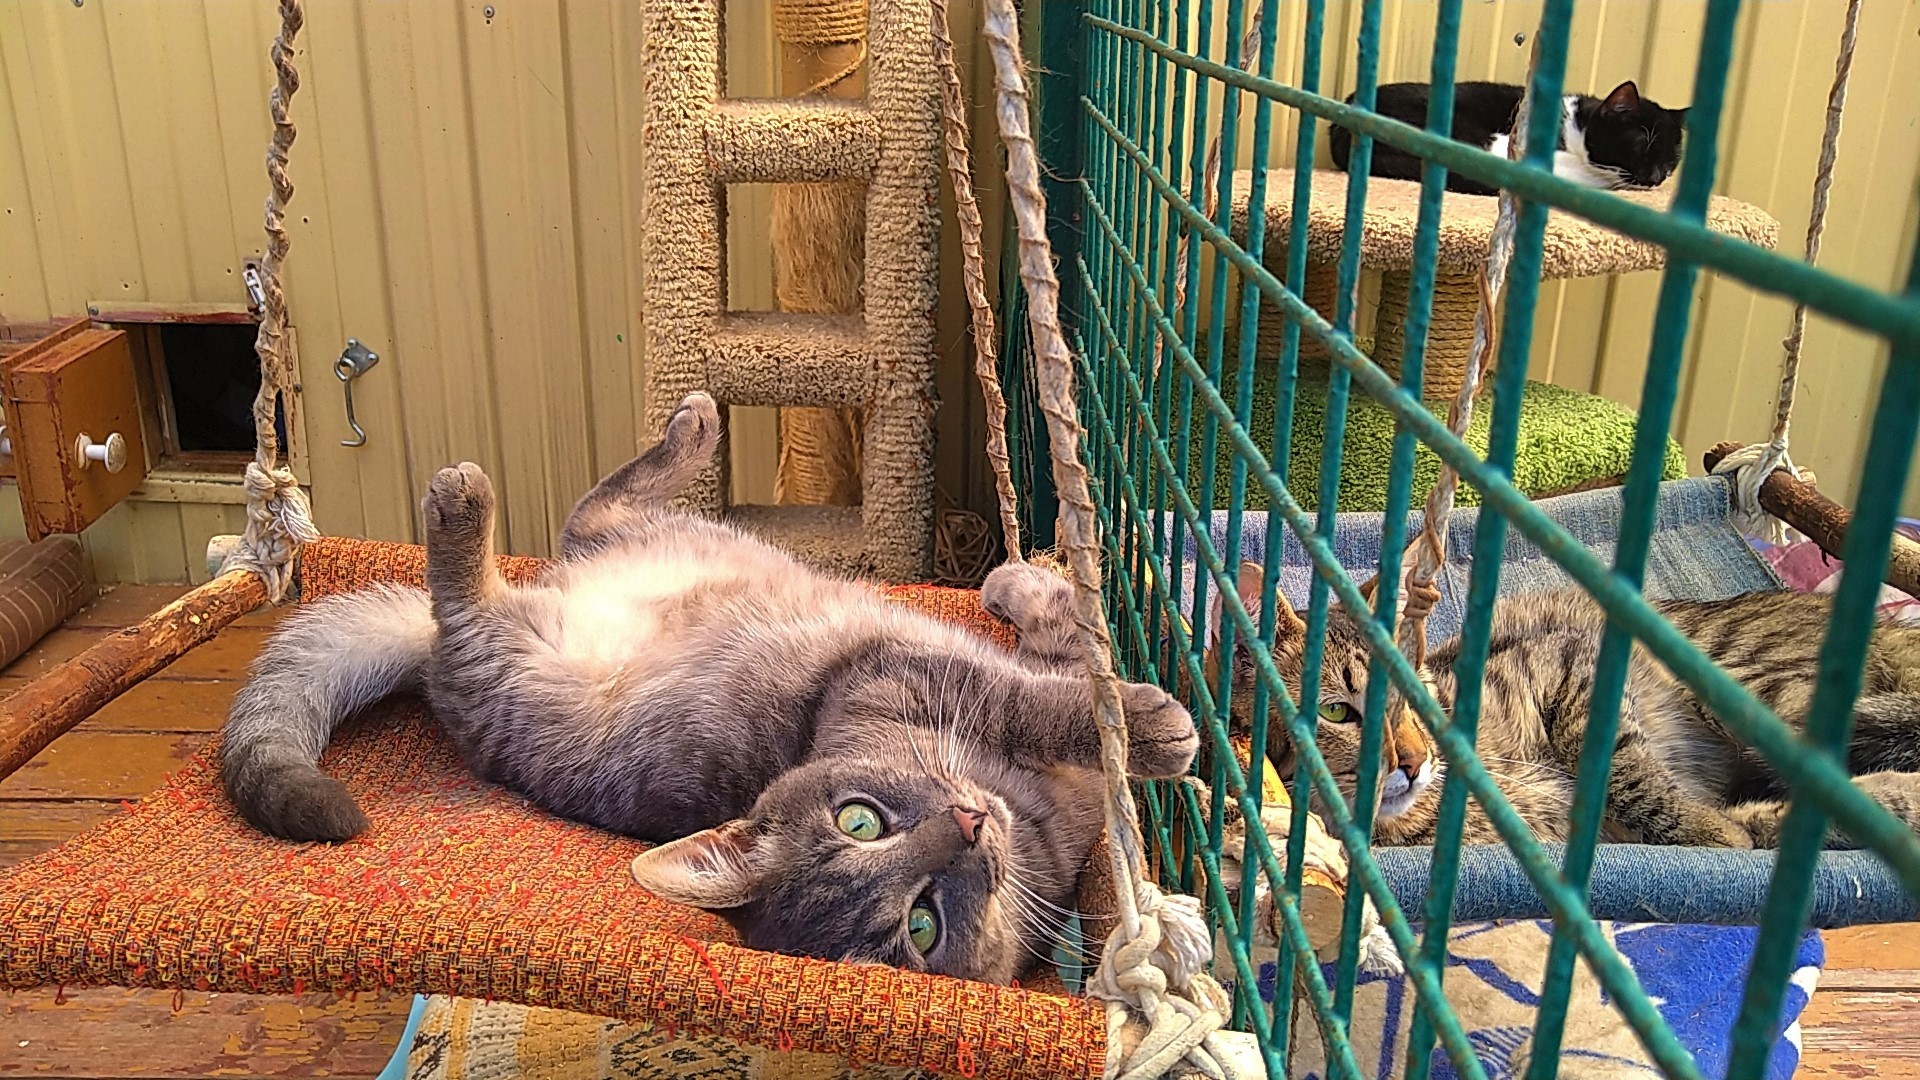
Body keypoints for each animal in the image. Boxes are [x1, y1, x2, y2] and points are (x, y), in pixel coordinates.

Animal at [220, 392, 1199, 985]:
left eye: (859, 818)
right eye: (919, 925)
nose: (966, 826)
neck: (1028, 814)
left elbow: (1056, 635)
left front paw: (1016, 582)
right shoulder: (895, 671)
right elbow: (1048, 692)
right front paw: (1146, 724)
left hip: (657, 539)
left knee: (595, 506)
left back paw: (688, 430)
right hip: (500, 654)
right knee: (464, 593)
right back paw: (463, 502)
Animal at [1205, 561, 1920, 849]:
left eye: (1417, 695)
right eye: (1335, 713)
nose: (1416, 761)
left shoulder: (1576, 662)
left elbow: (1627, 773)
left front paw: (1705, 827)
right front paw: (1720, 828)